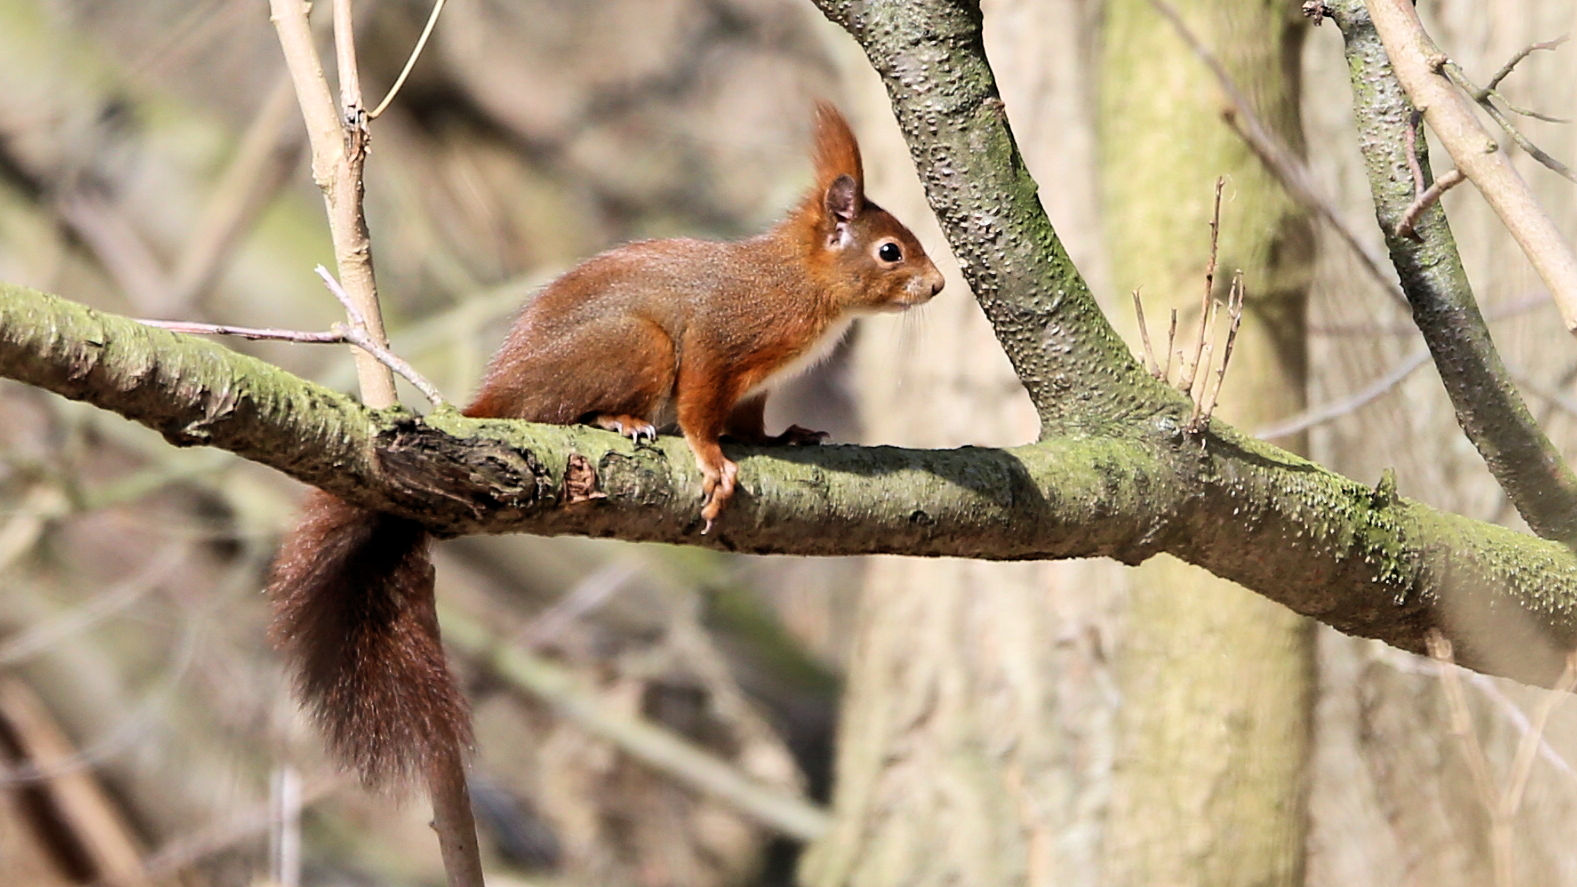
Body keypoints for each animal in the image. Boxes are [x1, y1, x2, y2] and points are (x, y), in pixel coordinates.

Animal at [264, 101, 939, 785]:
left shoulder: (758, 386)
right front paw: (713, 462)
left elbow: (752, 425)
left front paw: (790, 434)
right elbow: (701, 411)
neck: (802, 282)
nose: (937, 286)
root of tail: (499, 396)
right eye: (890, 251)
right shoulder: (718, 342)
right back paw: (620, 421)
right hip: (638, 344)